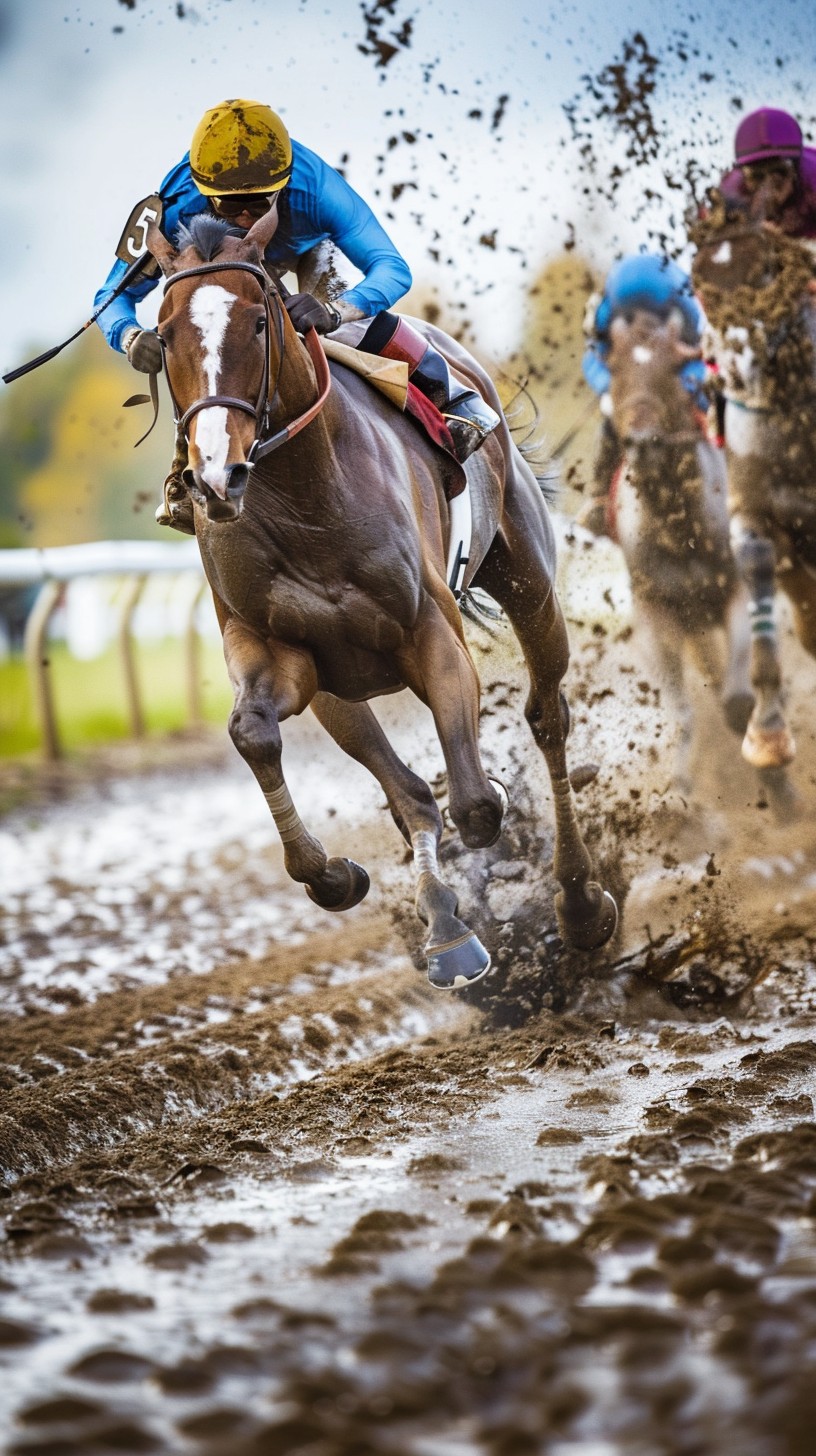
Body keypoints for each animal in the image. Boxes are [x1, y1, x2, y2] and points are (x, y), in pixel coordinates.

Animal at [142, 209, 617, 989]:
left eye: (259, 324)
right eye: (166, 331)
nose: (215, 477)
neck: (306, 495)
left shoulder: (431, 634)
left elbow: (477, 804)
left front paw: (495, 821)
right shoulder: (282, 652)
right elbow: (257, 735)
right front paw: (336, 877)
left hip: (529, 582)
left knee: (547, 719)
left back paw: (578, 904)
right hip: (341, 687)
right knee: (407, 792)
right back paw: (448, 928)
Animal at [602, 306, 754, 795]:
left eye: (672, 369)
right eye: (616, 369)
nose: (643, 442)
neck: (679, 529)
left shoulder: (734, 586)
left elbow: (738, 696)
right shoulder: (656, 613)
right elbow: (683, 711)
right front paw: (681, 785)